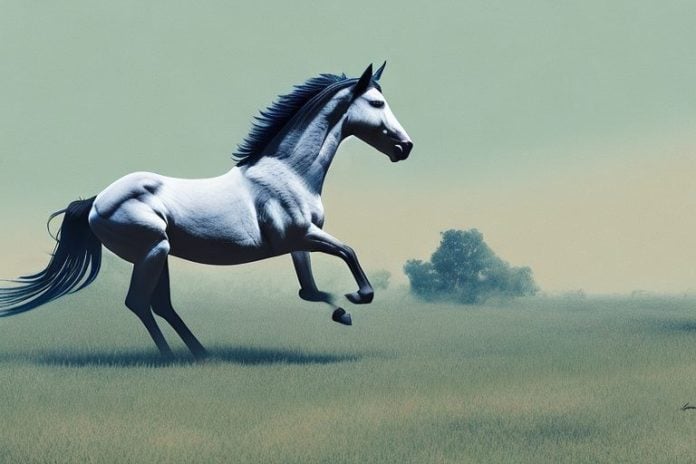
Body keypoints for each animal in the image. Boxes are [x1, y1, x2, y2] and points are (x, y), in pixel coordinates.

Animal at [0, 63, 413, 359]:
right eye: (377, 104)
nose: (405, 147)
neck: (288, 173)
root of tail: (96, 200)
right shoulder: (303, 236)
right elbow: (348, 252)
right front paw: (355, 300)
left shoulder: (298, 244)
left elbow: (308, 290)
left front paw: (341, 310)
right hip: (152, 251)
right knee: (140, 302)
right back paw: (170, 357)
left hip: (159, 253)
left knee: (161, 304)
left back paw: (199, 352)